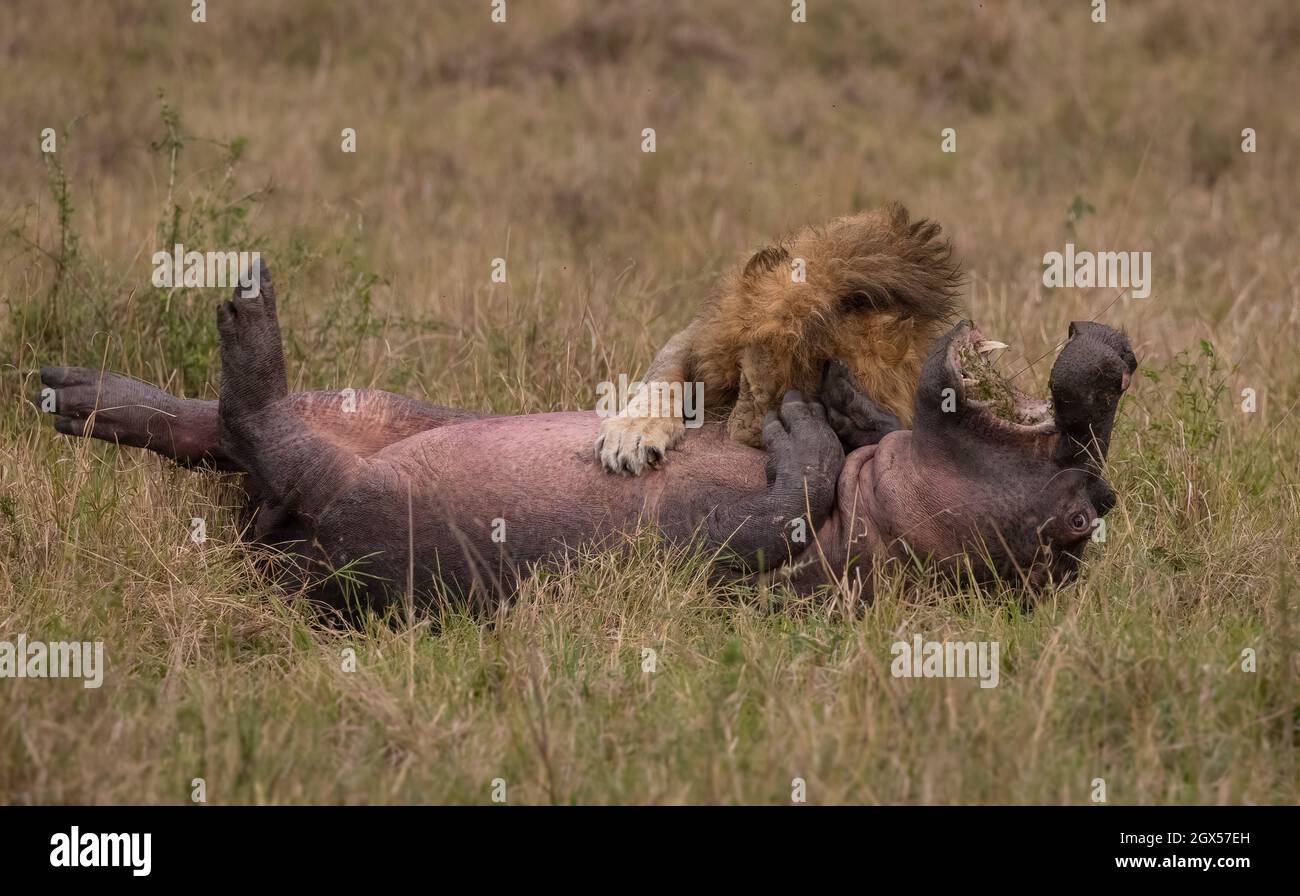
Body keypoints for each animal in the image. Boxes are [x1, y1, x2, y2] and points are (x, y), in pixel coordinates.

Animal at [40, 265, 1133, 611]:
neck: (883, 528)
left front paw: (798, 429)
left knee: (251, 423)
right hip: (370, 408)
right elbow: (847, 426)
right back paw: (66, 387)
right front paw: (819, 398)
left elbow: (782, 508)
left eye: (1087, 516)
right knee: (202, 425)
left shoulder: (736, 557)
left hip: (351, 498)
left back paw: (241, 312)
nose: (1118, 347)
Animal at [595, 198, 967, 470]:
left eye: (819, 408)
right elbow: (662, 378)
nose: (742, 440)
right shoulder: (697, 336)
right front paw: (632, 434)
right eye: (750, 388)